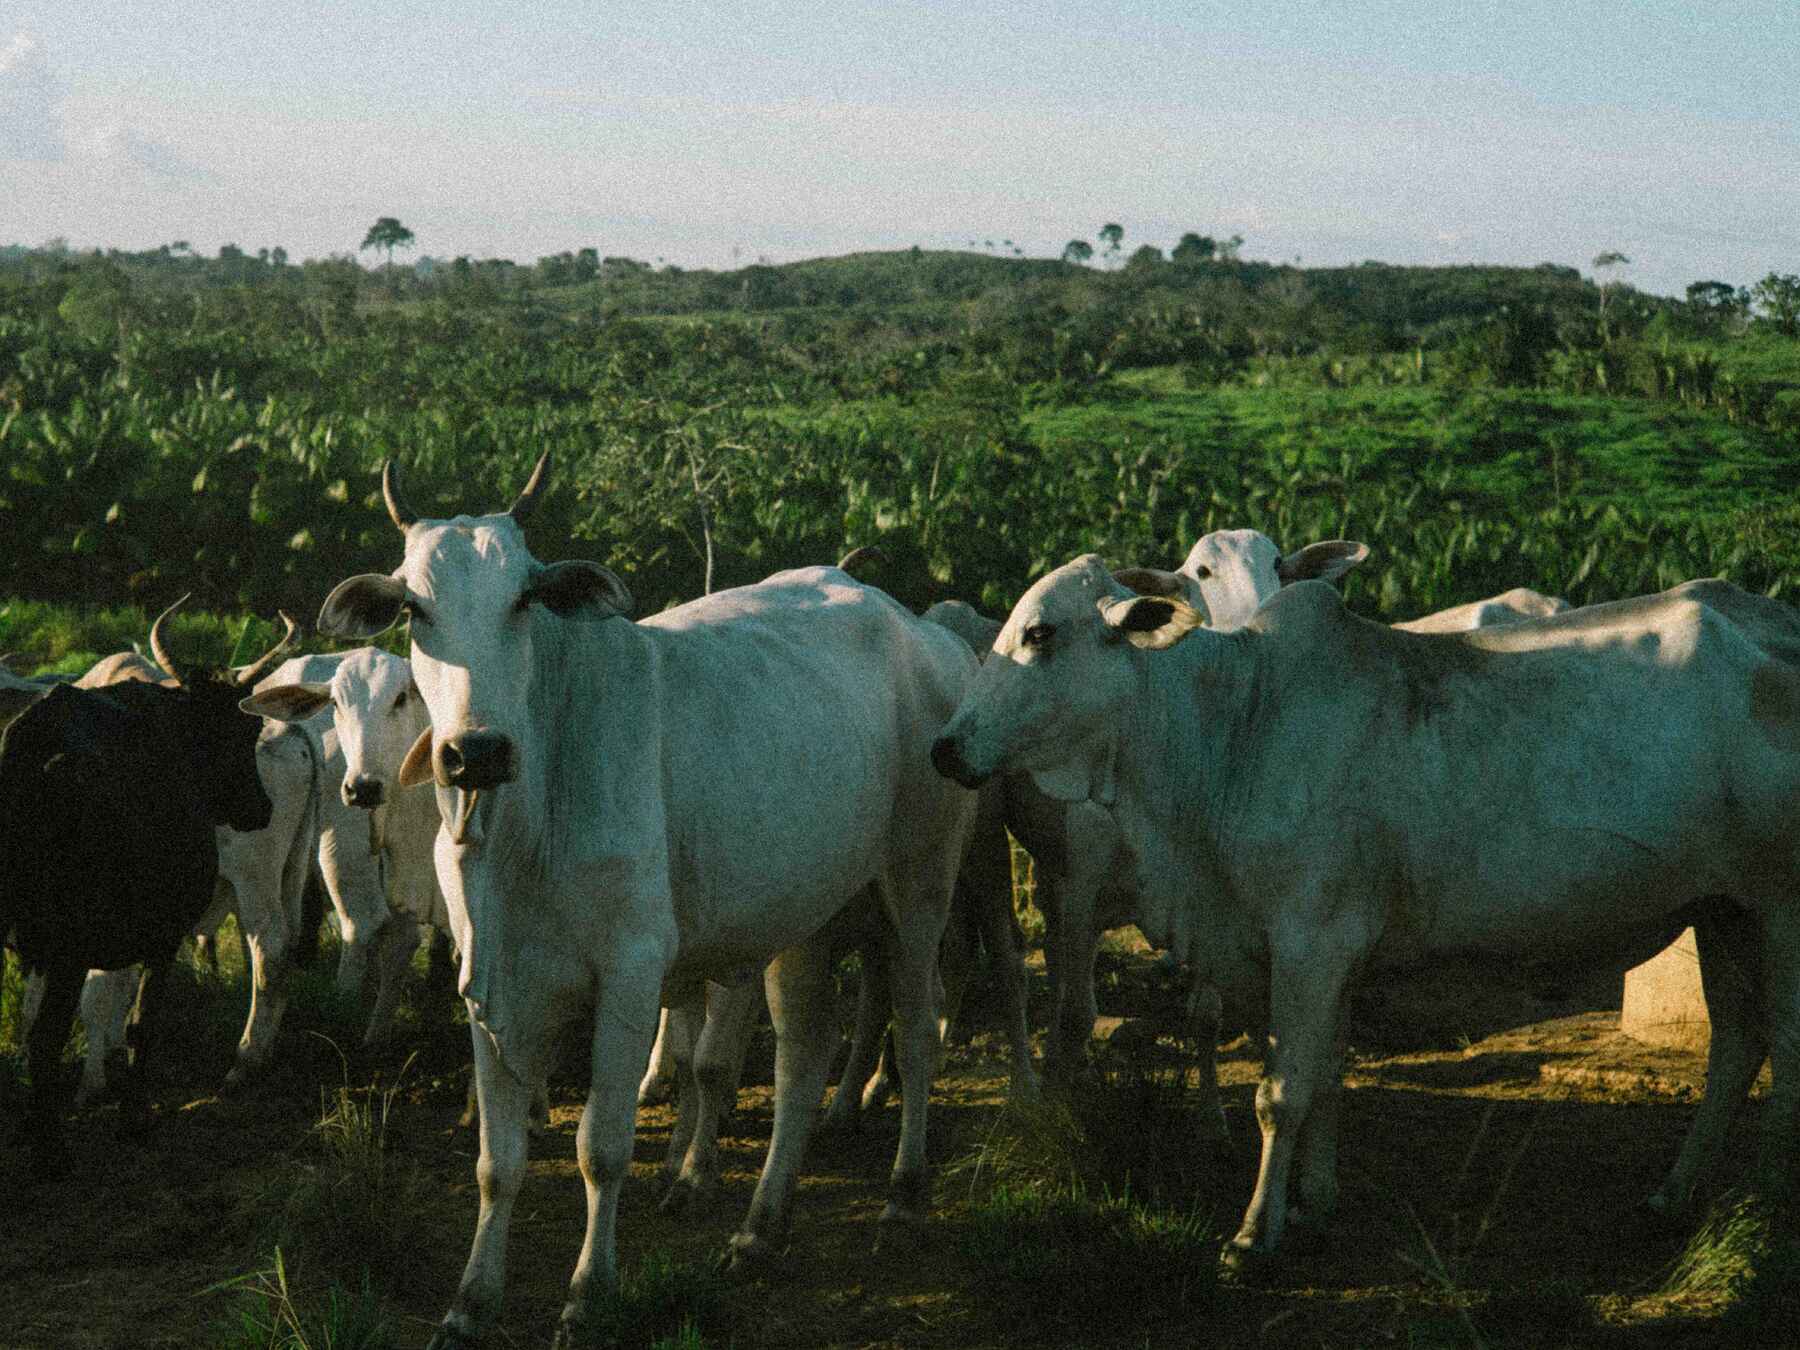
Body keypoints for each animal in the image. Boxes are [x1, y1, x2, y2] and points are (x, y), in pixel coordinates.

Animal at [0, 599, 293, 1174]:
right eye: (243, 731)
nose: (261, 809)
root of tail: (42, 757)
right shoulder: (163, 936)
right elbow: (139, 1023)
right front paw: (135, 1118)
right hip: (69, 949)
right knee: (48, 1036)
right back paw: (52, 1151)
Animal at [316, 454, 979, 1349]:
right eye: (414, 608)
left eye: (525, 598)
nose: (475, 751)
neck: (526, 821)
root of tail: (924, 632)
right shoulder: (490, 980)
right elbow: (498, 1161)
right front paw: (469, 1301)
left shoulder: (630, 974)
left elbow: (602, 1146)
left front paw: (589, 1292)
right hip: (803, 914)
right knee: (803, 1055)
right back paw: (760, 1229)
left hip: (918, 885)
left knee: (915, 1031)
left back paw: (902, 1201)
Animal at [931, 554, 1800, 1274]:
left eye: (1039, 633)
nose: (943, 748)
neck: (1231, 728)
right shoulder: (1332, 952)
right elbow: (1323, 1078)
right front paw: (1313, 1206)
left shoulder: (1311, 943)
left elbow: (1279, 1094)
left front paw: (1252, 1236)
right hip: (1722, 909)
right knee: (1736, 1044)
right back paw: (1675, 1195)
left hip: (1780, 907)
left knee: (1783, 1048)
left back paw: (1770, 1198)